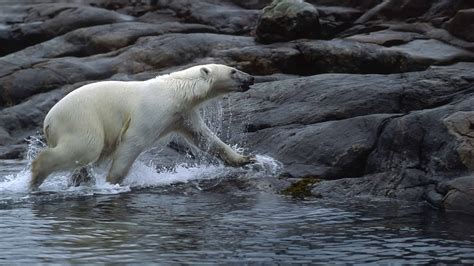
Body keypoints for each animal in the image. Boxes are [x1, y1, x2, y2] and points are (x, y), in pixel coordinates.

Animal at [30, 64, 256, 189]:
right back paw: (37, 176)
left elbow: (204, 137)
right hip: (80, 118)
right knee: (86, 147)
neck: (177, 90)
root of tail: (48, 121)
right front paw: (113, 181)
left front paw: (245, 159)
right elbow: (133, 140)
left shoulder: (182, 114)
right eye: (233, 71)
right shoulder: (152, 109)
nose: (251, 78)